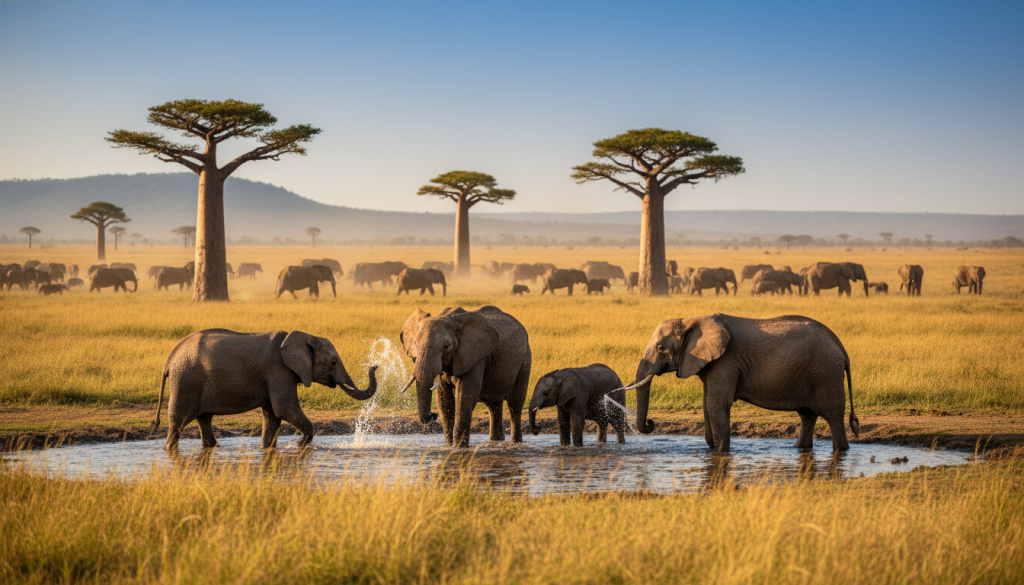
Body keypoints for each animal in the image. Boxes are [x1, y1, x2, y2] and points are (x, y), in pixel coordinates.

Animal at [150, 329, 378, 450]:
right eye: (333, 362)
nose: (375, 365)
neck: (305, 336)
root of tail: (170, 358)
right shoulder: (279, 371)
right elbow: (284, 410)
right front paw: (300, 445)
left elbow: (273, 416)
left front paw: (268, 449)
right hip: (185, 380)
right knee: (178, 421)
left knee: (204, 419)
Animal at [399, 305, 532, 448]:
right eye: (415, 344)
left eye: (446, 346)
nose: (432, 415)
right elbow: (444, 400)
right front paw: (449, 447)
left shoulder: (475, 356)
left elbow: (464, 397)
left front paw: (459, 448)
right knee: (493, 406)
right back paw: (495, 442)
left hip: (525, 360)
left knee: (515, 405)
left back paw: (516, 443)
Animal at [628, 313, 860, 452]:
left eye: (661, 348)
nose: (650, 423)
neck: (691, 319)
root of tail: (840, 346)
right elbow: (707, 404)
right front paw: (711, 448)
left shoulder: (726, 361)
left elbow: (716, 405)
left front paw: (720, 452)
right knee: (807, 416)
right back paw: (800, 449)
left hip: (826, 373)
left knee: (833, 416)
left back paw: (841, 450)